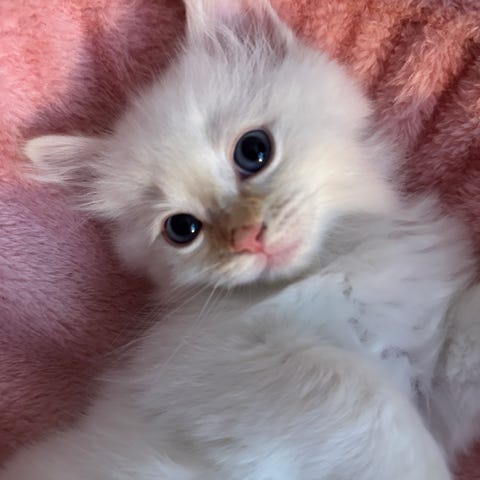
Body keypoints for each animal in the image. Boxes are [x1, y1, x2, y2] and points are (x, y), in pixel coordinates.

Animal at [2, 0, 479, 478]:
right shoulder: (224, 364)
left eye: (253, 151)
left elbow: (463, 346)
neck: (335, 263)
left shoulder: (432, 387)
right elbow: (364, 399)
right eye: (182, 229)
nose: (249, 237)